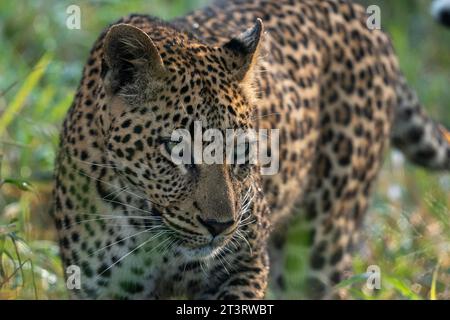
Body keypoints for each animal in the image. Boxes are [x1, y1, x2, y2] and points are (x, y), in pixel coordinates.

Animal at [53, 0, 450, 300]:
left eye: (241, 154)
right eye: (177, 151)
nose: (220, 226)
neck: (145, 231)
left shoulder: (247, 262)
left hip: (319, 246)